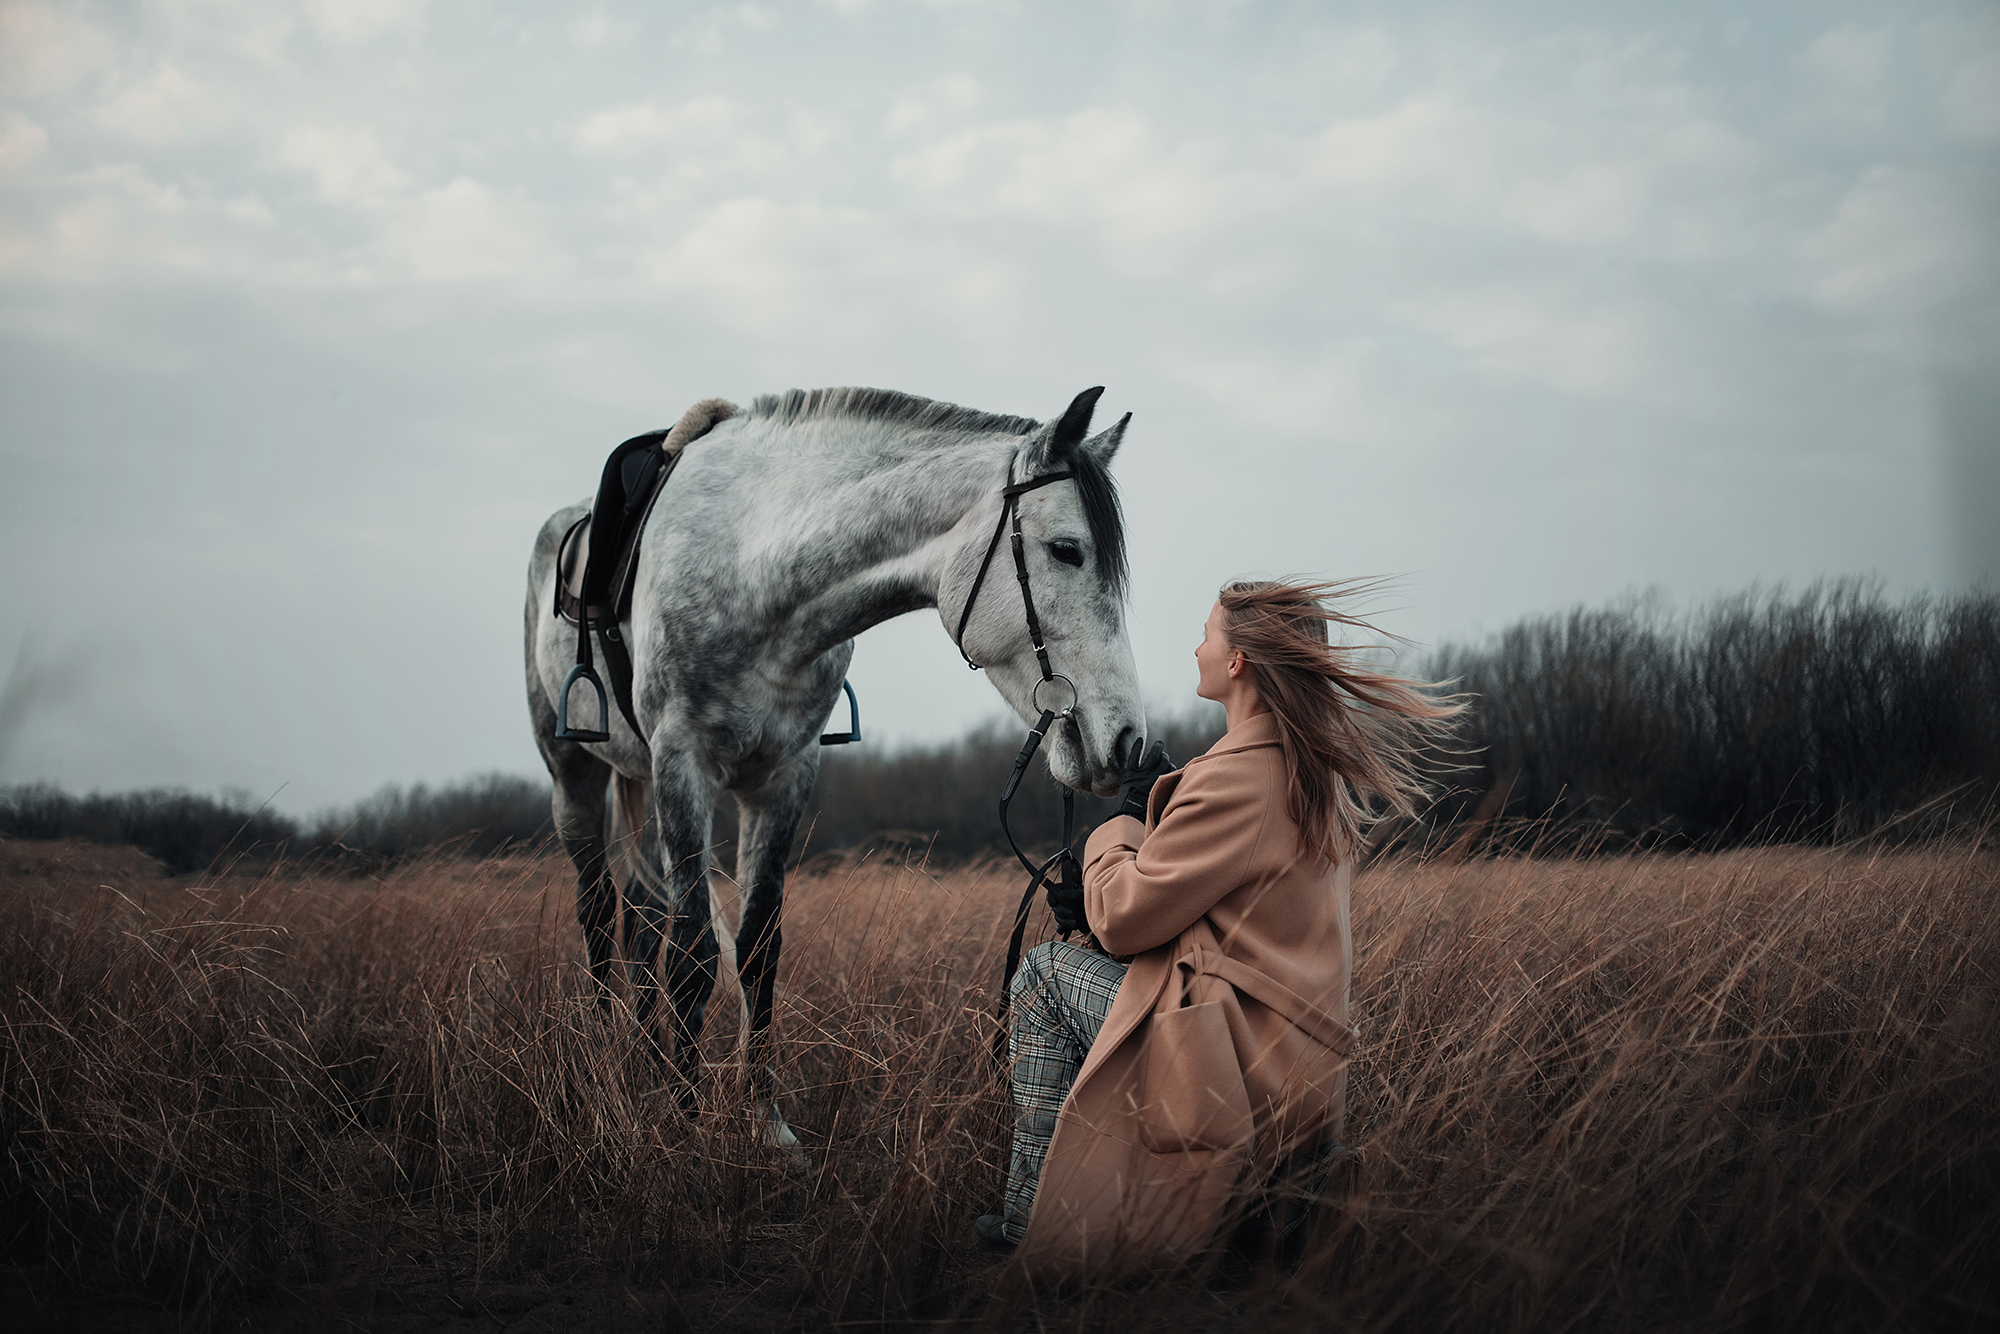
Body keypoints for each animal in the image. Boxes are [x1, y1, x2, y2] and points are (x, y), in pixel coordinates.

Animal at [524, 386, 1152, 1152]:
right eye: (1067, 550)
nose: (1126, 741)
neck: (755, 564)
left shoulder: (784, 779)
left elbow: (757, 947)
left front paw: (765, 1125)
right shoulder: (683, 766)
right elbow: (697, 953)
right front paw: (687, 1125)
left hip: (636, 779)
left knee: (642, 917)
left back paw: (642, 1067)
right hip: (575, 778)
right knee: (598, 911)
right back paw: (599, 1063)